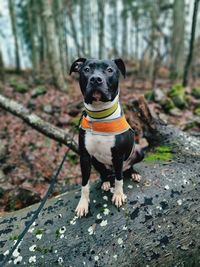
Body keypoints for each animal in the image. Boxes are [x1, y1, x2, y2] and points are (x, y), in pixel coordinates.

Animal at [69, 58, 144, 218]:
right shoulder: (85, 157)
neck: (100, 117)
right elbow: (84, 184)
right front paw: (83, 204)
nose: (96, 79)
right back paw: (105, 182)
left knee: (126, 169)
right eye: (86, 69)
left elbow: (119, 179)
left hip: (139, 151)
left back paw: (134, 174)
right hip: (96, 161)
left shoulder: (118, 156)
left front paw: (118, 195)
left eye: (109, 70)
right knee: (105, 173)